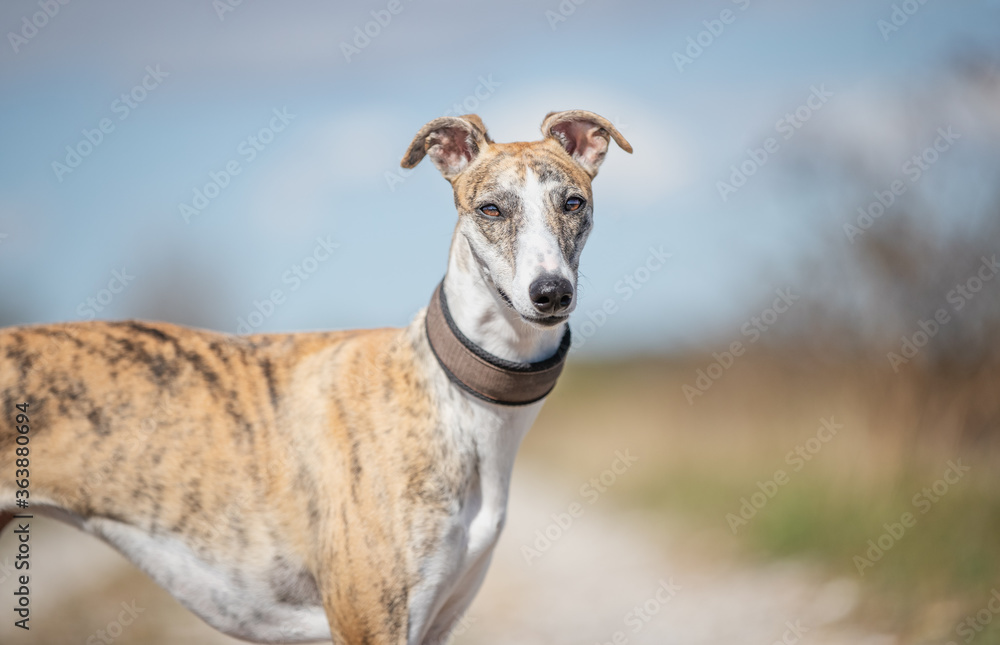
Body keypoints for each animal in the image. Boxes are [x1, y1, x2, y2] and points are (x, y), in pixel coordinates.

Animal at [1, 108, 632, 640]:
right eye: (491, 209)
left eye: (573, 203)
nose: (551, 293)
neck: (453, 397)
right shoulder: (370, 623)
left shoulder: (437, 621)